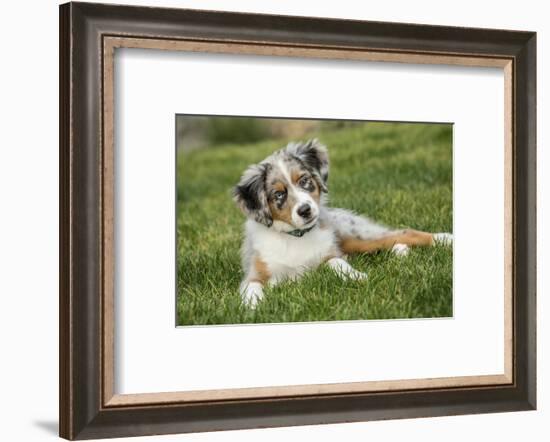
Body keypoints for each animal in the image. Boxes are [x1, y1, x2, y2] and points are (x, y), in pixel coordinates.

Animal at [233, 140, 452, 306]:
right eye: (279, 194)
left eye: (304, 181)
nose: (305, 210)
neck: (296, 236)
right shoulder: (253, 273)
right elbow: (252, 286)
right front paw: (253, 306)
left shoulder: (329, 253)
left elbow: (336, 262)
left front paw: (357, 276)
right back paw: (401, 251)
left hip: (357, 235)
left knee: (402, 233)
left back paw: (445, 239)